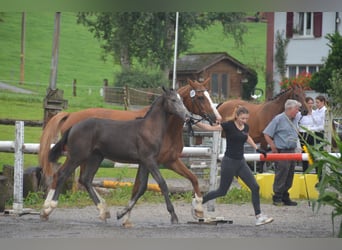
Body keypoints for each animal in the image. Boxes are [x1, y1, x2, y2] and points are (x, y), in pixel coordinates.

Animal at [39, 79, 222, 226]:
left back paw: (103, 211)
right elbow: (160, 184)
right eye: (200, 97)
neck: (151, 128)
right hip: (77, 156)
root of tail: (73, 124)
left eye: (182, 100)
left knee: (85, 179)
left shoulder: (153, 162)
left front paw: (122, 214)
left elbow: (143, 187)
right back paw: (47, 209)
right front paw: (173, 216)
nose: (216, 118)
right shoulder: (150, 161)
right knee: (61, 174)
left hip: (95, 157)